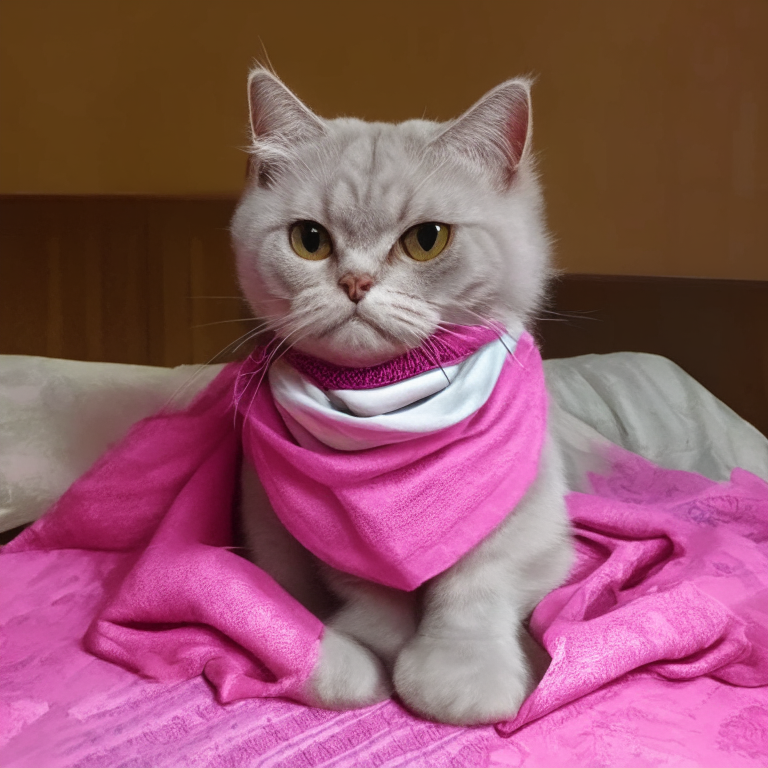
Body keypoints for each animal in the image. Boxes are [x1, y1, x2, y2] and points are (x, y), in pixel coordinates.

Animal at [231, 67, 572, 728]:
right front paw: (362, 652)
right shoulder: (292, 524)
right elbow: (364, 589)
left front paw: (460, 678)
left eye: (427, 241)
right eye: (309, 240)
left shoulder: (529, 516)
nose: (355, 282)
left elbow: (478, 582)